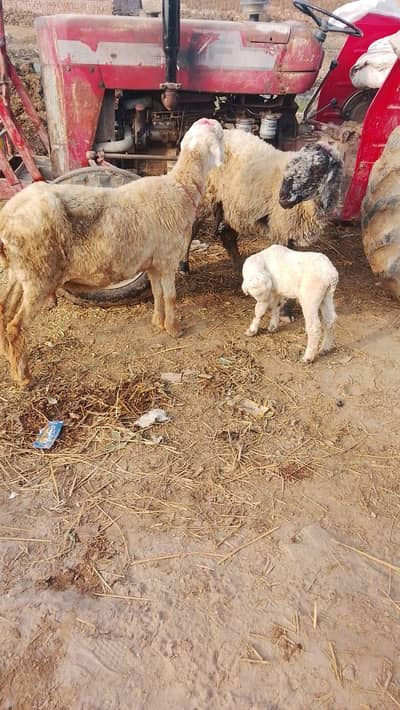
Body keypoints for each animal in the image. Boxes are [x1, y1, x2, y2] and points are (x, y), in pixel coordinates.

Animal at [0, 117, 224, 387]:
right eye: (220, 134)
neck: (180, 187)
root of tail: (6, 215)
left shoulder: (153, 263)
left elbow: (158, 294)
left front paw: (158, 323)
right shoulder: (168, 259)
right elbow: (170, 297)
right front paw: (174, 329)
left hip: (19, 272)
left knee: (3, 311)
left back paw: (8, 356)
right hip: (39, 273)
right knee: (16, 325)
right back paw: (23, 376)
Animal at [180, 130, 343, 275]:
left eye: (317, 169)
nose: (282, 198)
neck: (308, 207)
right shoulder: (280, 228)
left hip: (231, 203)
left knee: (227, 235)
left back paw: (240, 268)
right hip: (205, 195)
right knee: (192, 229)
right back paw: (184, 265)